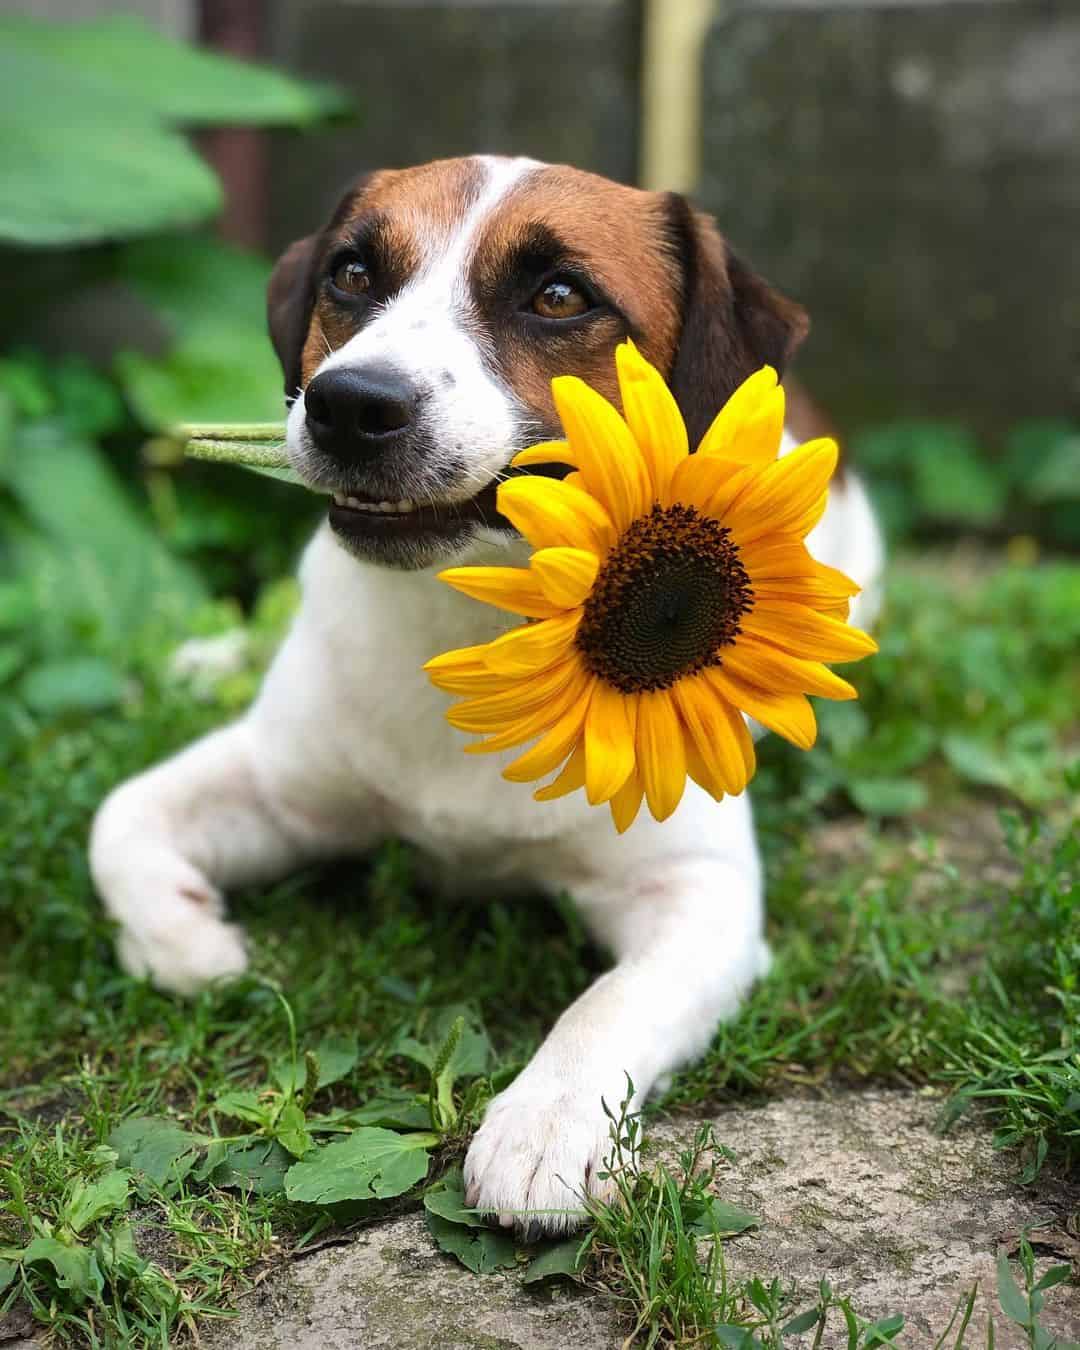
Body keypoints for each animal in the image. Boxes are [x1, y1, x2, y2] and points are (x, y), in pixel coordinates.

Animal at [90, 155, 885, 1236]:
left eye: (558, 296)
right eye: (352, 273)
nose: (349, 404)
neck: (476, 621)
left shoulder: (701, 893)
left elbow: (609, 1001)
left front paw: (546, 1125)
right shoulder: (285, 785)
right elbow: (117, 817)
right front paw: (185, 941)